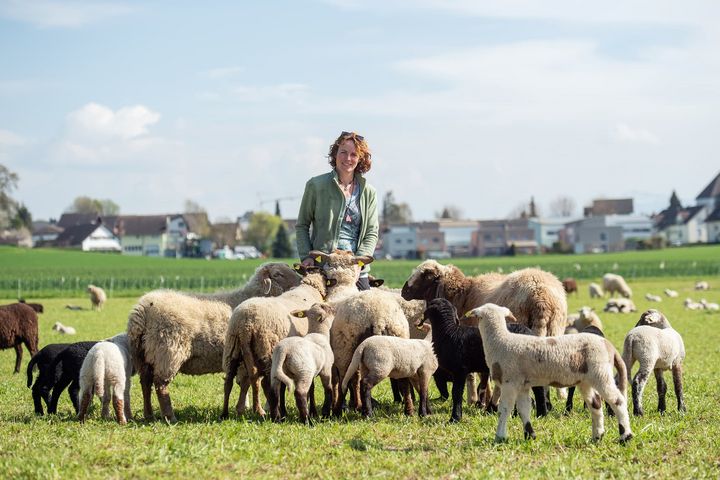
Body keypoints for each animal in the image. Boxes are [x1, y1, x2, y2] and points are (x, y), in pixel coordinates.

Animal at [128, 262, 301, 423]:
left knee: (145, 383)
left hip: (144, 354)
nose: (300, 281)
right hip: (168, 351)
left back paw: (149, 415)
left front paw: (242, 408)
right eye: (278, 274)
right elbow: (248, 382)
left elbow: (244, 383)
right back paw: (170, 417)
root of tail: (142, 310)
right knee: (160, 385)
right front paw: (248, 409)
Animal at [223, 254, 362, 419]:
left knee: (230, 380)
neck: (310, 287)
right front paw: (311, 410)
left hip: (232, 349)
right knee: (266, 383)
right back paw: (268, 412)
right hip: (266, 349)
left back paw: (225, 413)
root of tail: (245, 324)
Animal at [467, 303, 632, 443]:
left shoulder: (509, 383)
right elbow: (524, 409)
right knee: (596, 405)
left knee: (618, 401)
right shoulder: (522, 385)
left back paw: (626, 436)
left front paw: (500, 436)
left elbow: (504, 410)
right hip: (586, 380)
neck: (500, 341)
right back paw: (597, 436)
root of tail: (609, 346)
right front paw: (530, 436)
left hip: (601, 373)